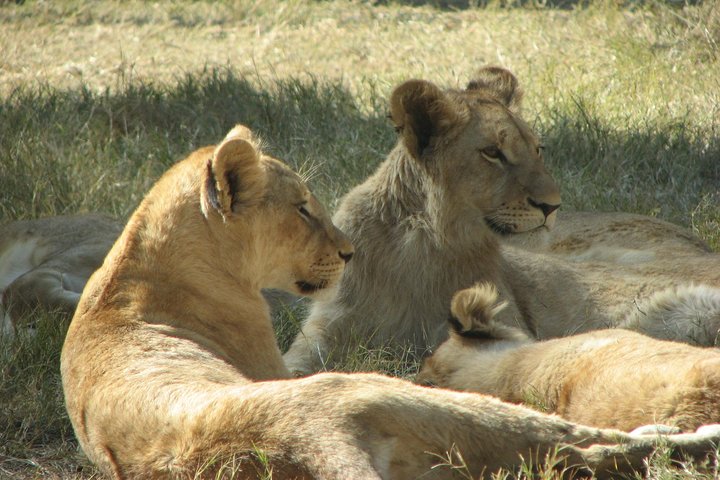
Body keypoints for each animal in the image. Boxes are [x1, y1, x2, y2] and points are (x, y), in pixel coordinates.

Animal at [282, 65, 720, 376]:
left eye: (537, 149)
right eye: (493, 153)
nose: (552, 206)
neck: (420, 248)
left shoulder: (505, 330)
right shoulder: (322, 333)